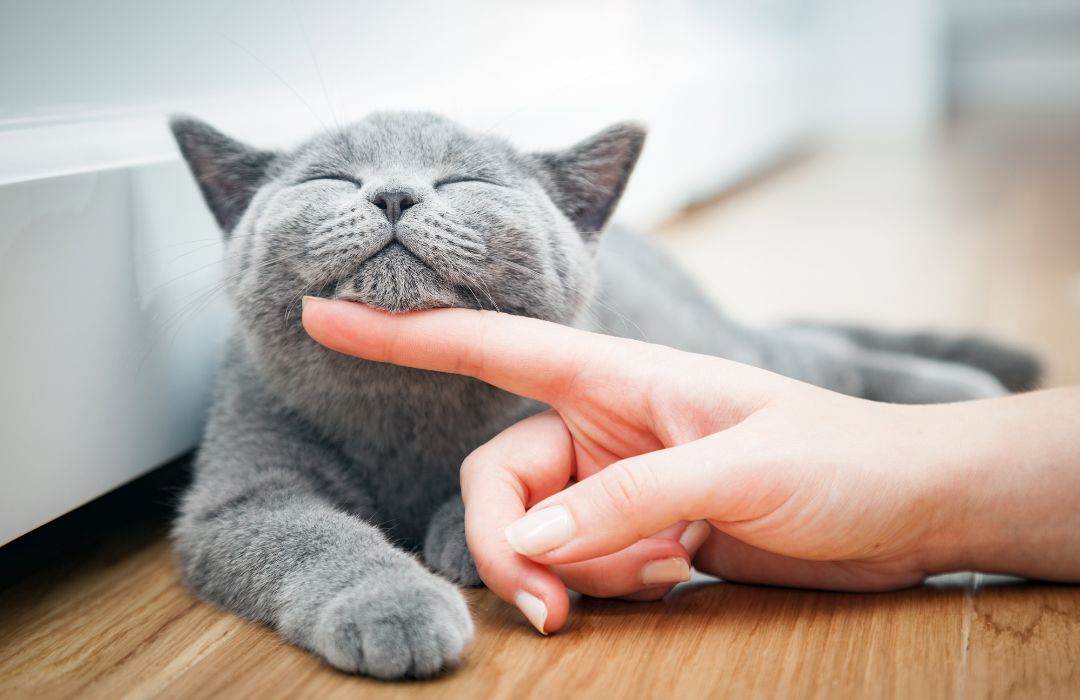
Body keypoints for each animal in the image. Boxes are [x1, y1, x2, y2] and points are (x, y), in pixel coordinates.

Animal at [168, 112, 1036, 682]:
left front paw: (465, 536)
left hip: (714, 348)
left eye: (466, 180)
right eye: (330, 179)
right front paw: (395, 604)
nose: (392, 194)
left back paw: (967, 390)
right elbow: (314, 537)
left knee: (816, 356)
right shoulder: (242, 493)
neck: (404, 404)